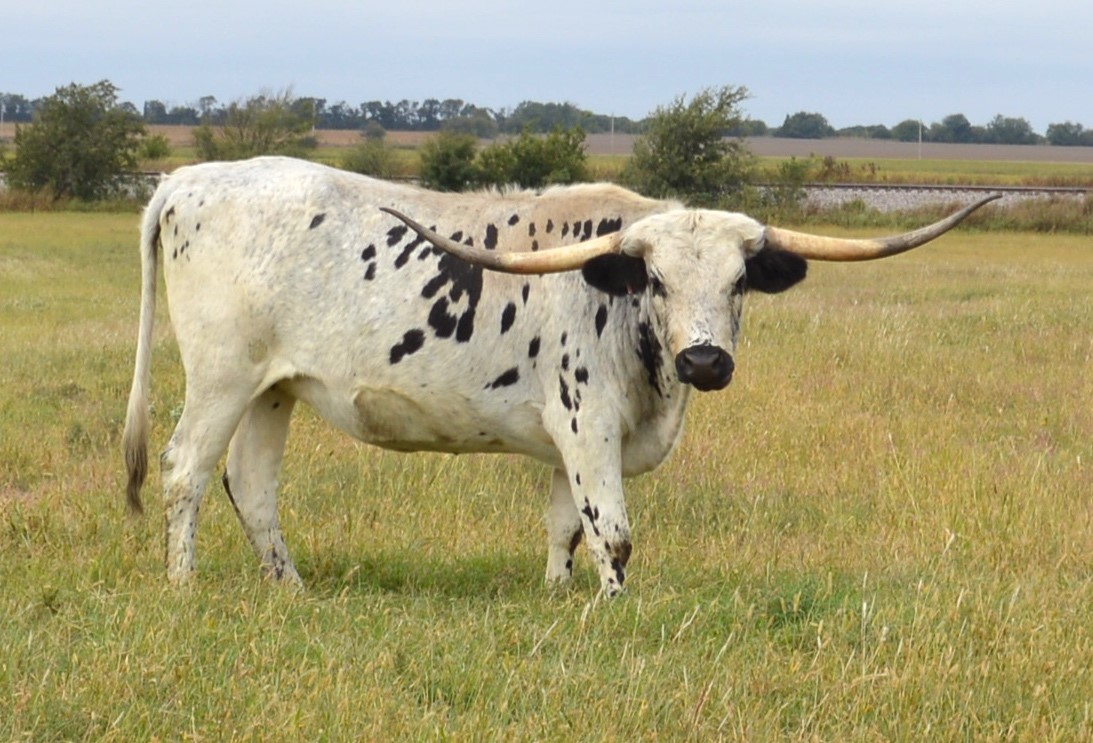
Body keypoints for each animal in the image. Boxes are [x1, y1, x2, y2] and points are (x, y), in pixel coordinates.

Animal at [123, 156, 997, 596]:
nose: (704, 359)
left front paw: (553, 594)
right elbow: (613, 529)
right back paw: (184, 586)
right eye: (656, 281)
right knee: (184, 470)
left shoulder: (567, 440)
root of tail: (185, 179)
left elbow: (564, 523)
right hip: (221, 378)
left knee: (250, 483)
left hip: (274, 387)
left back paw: (291, 588)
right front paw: (614, 607)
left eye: (740, 281)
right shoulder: (588, 421)